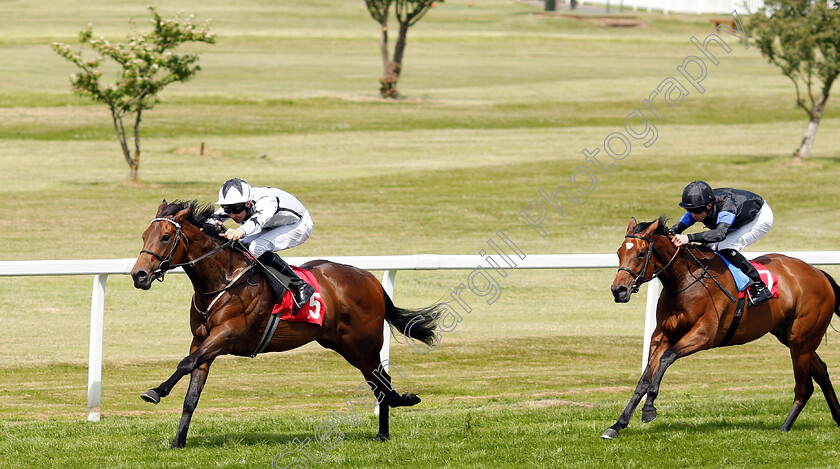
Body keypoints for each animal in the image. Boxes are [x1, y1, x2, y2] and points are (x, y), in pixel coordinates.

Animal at [130, 199, 446, 448]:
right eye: (144, 235)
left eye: (166, 236)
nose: (139, 275)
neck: (222, 279)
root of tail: (370, 279)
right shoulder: (202, 340)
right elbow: (192, 392)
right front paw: (178, 441)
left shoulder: (227, 334)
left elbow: (185, 363)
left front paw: (155, 392)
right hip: (341, 344)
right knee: (378, 382)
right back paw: (387, 425)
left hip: (363, 344)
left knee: (382, 382)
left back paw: (392, 417)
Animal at [604, 217, 840, 438]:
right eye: (618, 253)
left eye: (641, 253)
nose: (618, 290)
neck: (685, 280)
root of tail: (819, 273)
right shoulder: (662, 334)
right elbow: (645, 378)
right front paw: (617, 425)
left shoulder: (705, 335)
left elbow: (667, 357)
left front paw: (649, 408)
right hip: (792, 337)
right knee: (821, 372)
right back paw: (837, 418)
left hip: (802, 338)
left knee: (804, 387)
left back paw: (784, 427)